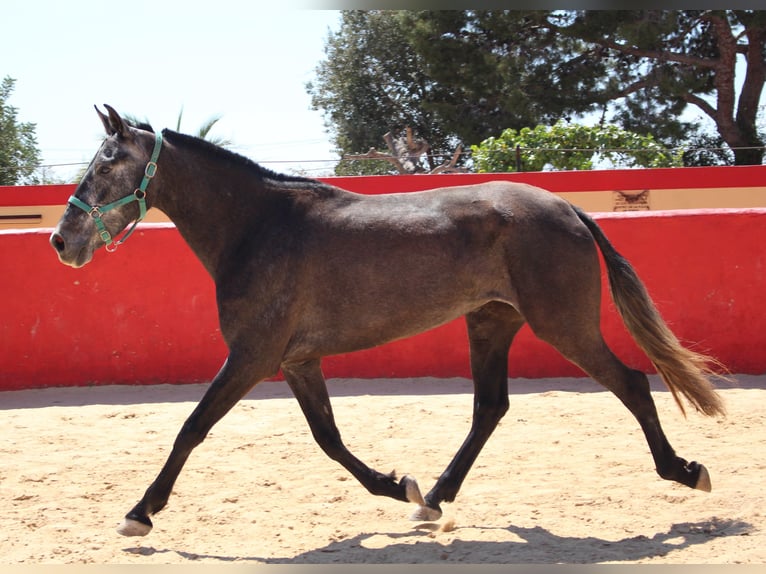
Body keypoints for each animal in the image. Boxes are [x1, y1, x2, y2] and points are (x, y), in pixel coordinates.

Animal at [49, 107, 728, 540]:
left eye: (106, 165)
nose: (61, 241)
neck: (258, 226)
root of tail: (566, 206)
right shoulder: (296, 361)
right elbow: (328, 439)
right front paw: (398, 485)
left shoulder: (251, 356)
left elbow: (192, 428)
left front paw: (140, 512)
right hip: (491, 323)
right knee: (490, 408)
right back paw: (433, 501)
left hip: (563, 325)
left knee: (632, 383)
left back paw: (685, 471)